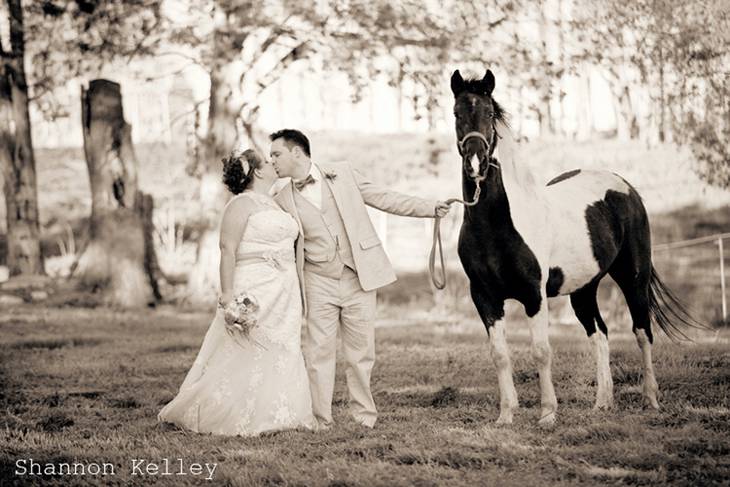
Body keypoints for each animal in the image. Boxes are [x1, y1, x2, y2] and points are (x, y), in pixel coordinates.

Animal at [452, 69, 696, 428]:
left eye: (489, 113)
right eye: (457, 113)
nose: (475, 163)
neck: (497, 225)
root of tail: (626, 188)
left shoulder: (534, 295)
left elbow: (541, 351)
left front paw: (548, 414)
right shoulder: (484, 297)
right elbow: (499, 354)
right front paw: (506, 414)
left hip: (633, 278)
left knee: (642, 331)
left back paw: (650, 399)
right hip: (584, 289)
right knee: (600, 334)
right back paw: (603, 402)